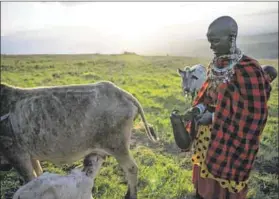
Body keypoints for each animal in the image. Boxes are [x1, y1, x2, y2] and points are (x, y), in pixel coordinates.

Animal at [0, 81, 158, 199]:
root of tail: (123, 93)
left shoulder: (15, 154)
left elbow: (30, 178)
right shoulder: (29, 155)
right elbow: (37, 174)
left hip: (118, 146)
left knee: (131, 168)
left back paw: (131, 195)